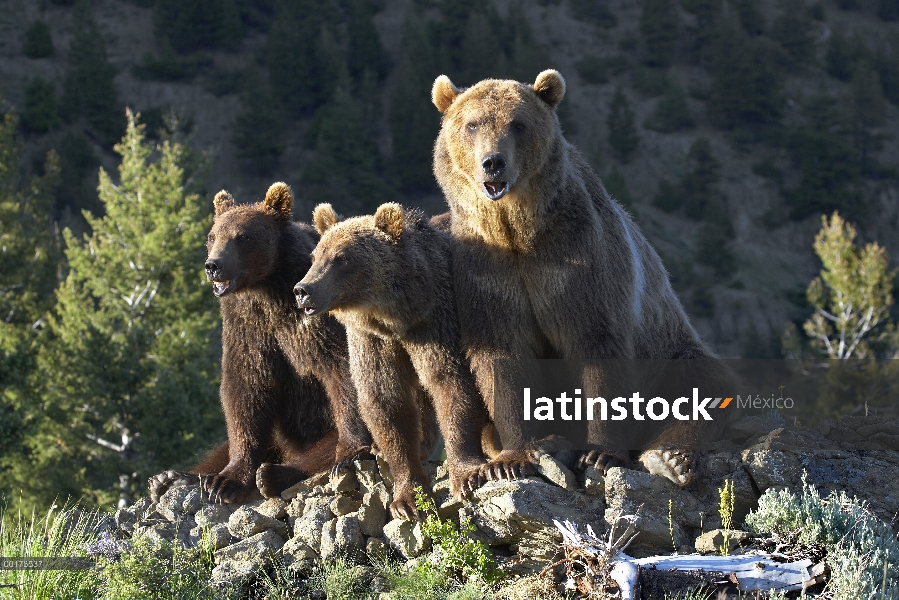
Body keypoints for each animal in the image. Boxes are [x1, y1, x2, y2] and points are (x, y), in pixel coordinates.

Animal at [296, 204, 492, 516]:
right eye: (316, 256)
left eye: (342, 258)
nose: (303, 290)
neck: (395, 318)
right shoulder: (371, 341)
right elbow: (386, 403)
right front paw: (407, 500)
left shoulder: (437, 321)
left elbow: (451, 382)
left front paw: (467, 474)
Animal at [432, 71, 736, 488]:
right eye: (473, 124)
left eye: (518, 124)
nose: (493, 163)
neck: (515, 233)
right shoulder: (487, 273)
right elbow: (502, 357)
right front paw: (510, 459)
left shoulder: (574, 260)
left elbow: (595, 340)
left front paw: (600, 453)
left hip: (668, 349)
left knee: (704, 383)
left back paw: (670, 457)